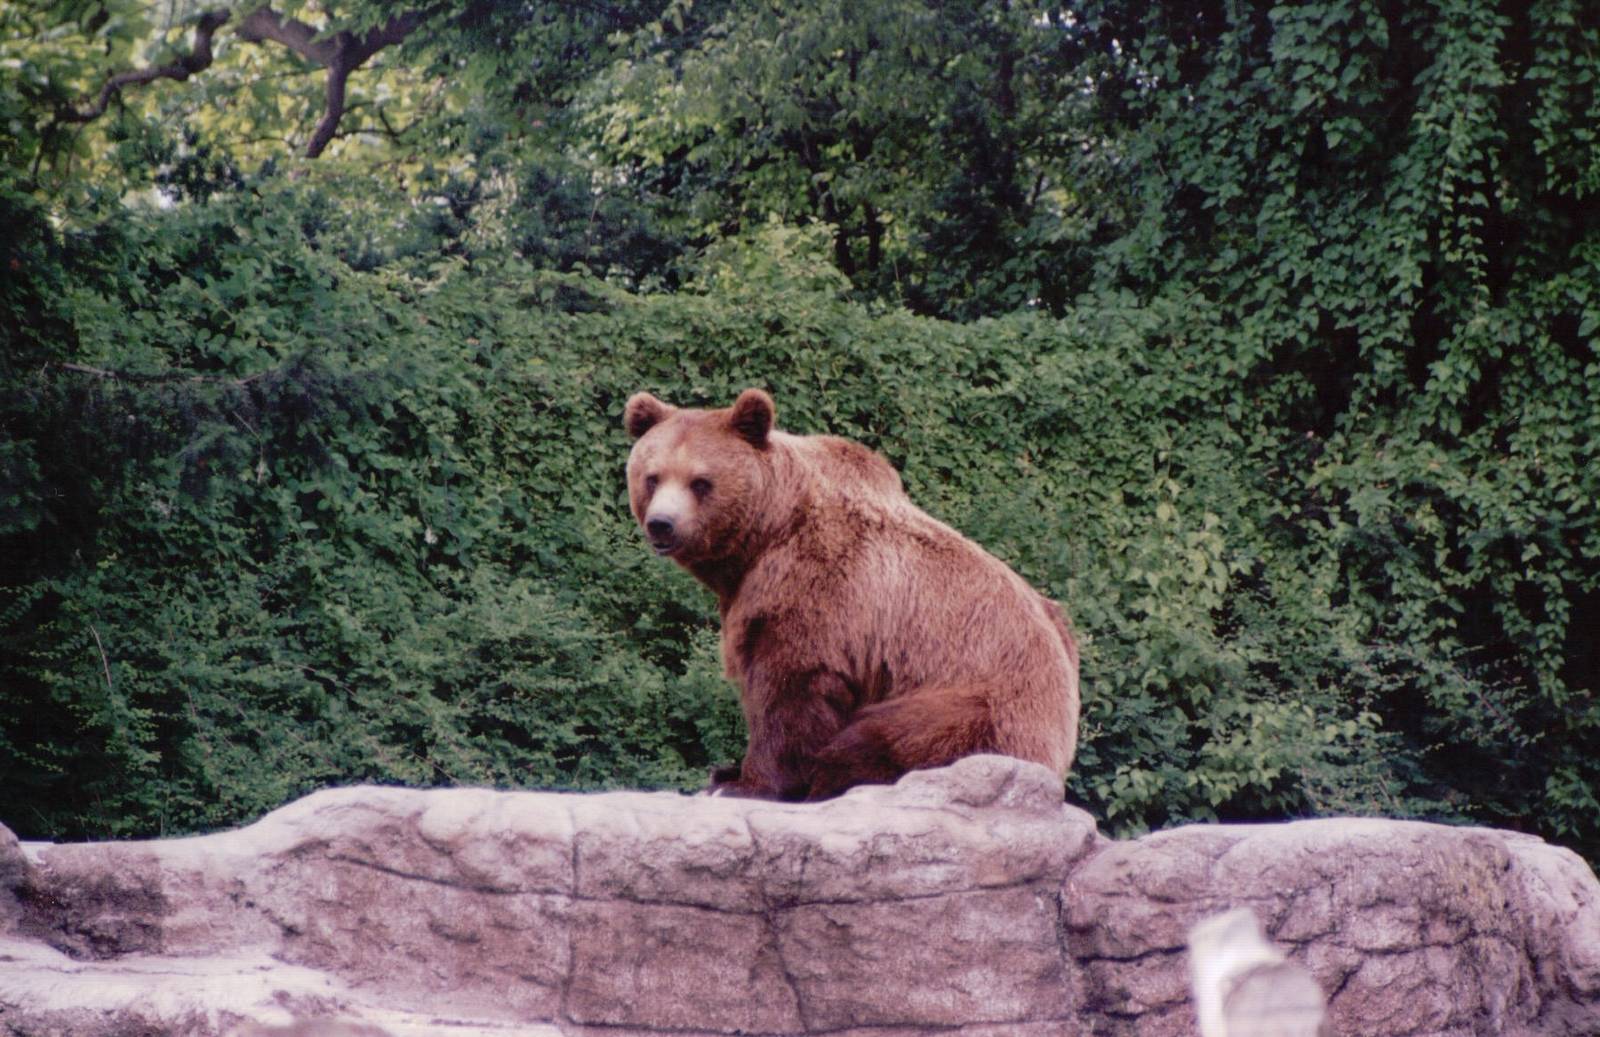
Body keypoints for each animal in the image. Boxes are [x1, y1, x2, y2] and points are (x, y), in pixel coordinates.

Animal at [623, 387, 1080, 801]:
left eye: (701, 481)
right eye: (652, 477)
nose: (662, 524)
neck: (765, 535)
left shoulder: (821, 584)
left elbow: (790, 684)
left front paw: (747, 783)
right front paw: (726, 770)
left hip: (979, 707)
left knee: (886, 737)